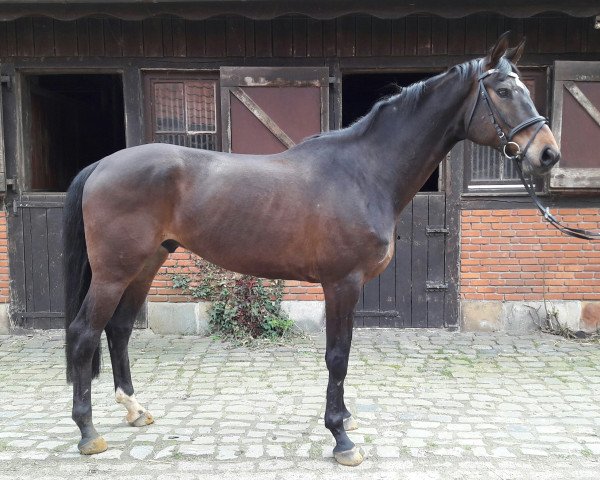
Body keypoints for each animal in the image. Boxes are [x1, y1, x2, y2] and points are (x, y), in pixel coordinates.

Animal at [63, 32, 560, 464]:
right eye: (503, 90)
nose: (548, 154)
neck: (364, 172)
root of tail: (102, 165)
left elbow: (343, 355)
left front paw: (345, 422)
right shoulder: (342, 283)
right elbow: (337, 356)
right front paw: (341, 438)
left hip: (145, 264)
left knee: (118, 329)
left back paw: (134, 410)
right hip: (113, 272)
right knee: (84, 333)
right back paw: (88, 433)